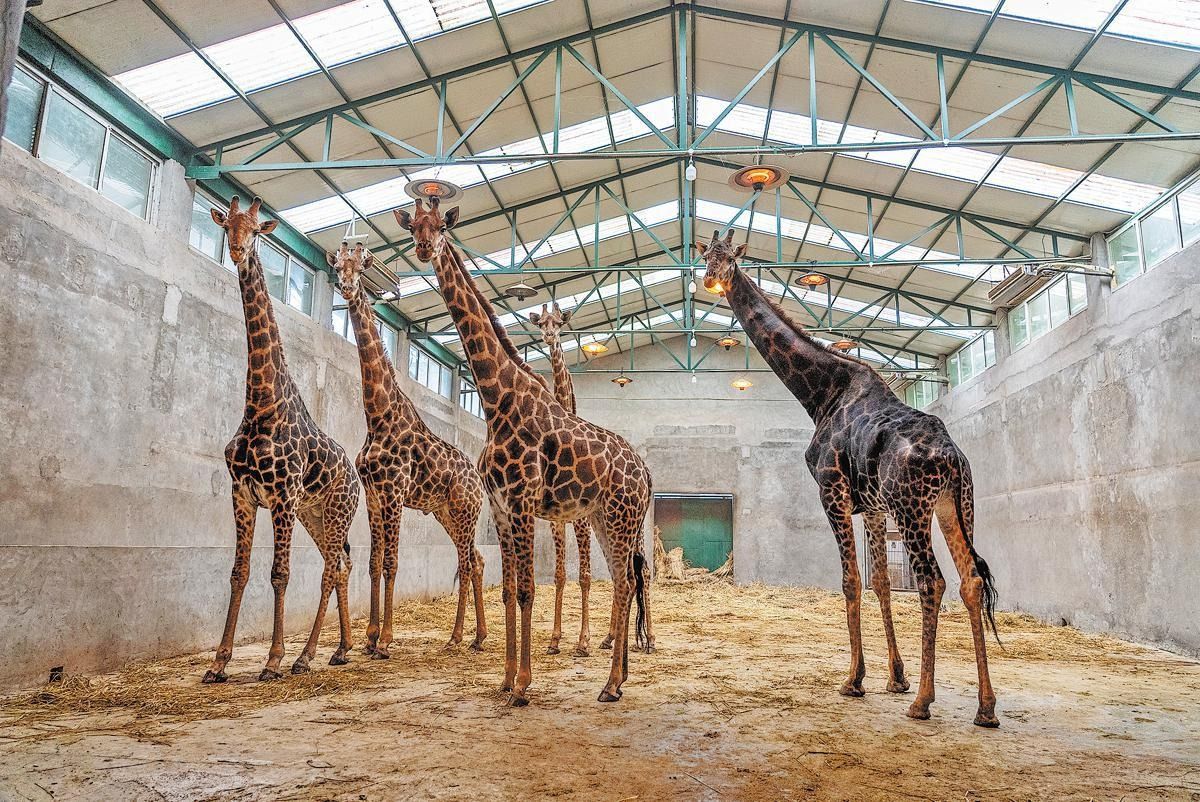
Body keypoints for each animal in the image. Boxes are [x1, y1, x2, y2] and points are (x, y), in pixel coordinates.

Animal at [202, 196, 360, 683]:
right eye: (227, 226)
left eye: (257, 231)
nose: (237, 251)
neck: (259, 405)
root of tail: (355, 474)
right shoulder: (242, 493)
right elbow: (238, 572)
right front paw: (219, 662)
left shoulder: (282, 496)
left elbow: (279, 573)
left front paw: (272, 658)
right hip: (315, 515)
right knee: (340, 565)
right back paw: (340, 649)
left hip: (334, 511)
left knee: (332, 568)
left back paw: (303, 655)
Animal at [328, 241, 486, 655]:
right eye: (338, 266)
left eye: (360, 266)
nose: (345, 287)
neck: (377, 415)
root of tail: (479, 481)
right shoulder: (373, 494)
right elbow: (373, 560)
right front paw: (368, 638)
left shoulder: (395, 492)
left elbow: (392, 562)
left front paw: (385, 640)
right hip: (447, 514)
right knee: (476, 560)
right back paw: (476, 636)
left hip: (465, 512)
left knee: (468, 563)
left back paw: (457, 637)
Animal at [528, 303, 655, 657]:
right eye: (541, 323)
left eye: (559, 322)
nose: (549, 335)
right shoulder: (557, 522)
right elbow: (560, 575)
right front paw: (555, 640)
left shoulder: (581, 521)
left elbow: (584, 576)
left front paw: (581, 641)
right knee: (620, 572)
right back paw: (610, 637)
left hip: (632, 526)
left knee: (643, 571)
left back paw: (649, 639)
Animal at [698, 230, 1000, 727]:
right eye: (705, 256)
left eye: (729, 259)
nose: (710, 280)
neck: (821, 392)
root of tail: (952, 457)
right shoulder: (874, 509)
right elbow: (880, 580)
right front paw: (894, 678)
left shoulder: (832, 492)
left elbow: (850, 581)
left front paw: (855, 680)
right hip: (956, 506)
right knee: (970, 580)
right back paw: (986, 707)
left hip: (913, 508)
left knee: (932, 581)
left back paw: (924, 701)